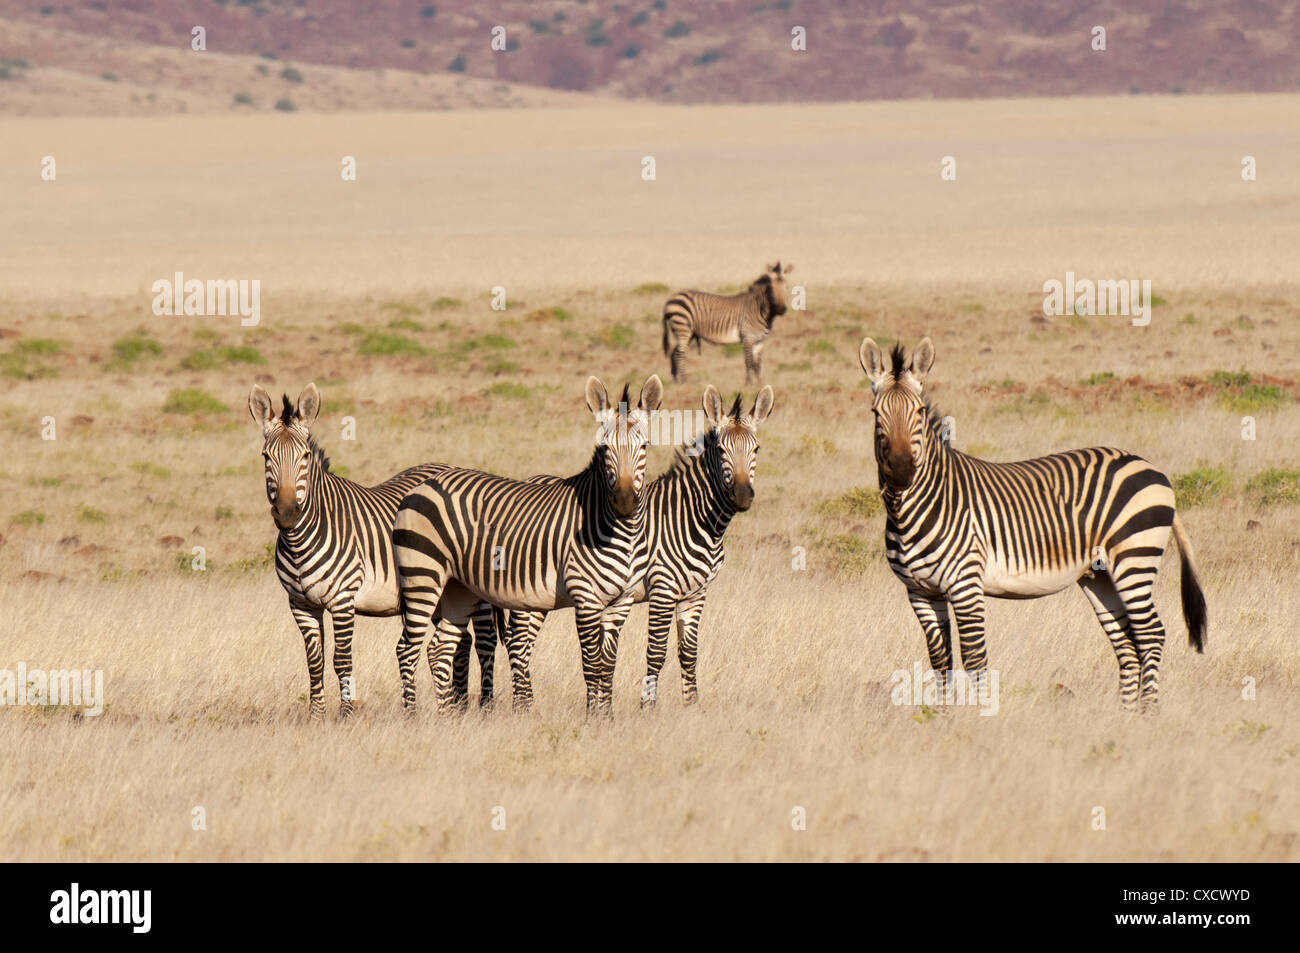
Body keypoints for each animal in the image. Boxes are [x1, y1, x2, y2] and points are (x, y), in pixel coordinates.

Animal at [248, 382, 496, 717]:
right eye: (266, 457)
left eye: (305, 456)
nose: (287, 513)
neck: (301, 540)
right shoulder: (300, 604)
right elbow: (315, 663)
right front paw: (316, 716)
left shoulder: (343, 599)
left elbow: (341, 660)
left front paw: (346, 716)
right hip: (437, 592)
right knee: (463, 641)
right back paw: (457, 706)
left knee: (484, 641)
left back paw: (485, 706)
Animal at [392, 371, 660, 712]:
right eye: (604, 448)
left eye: (645, 445)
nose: (624, 502)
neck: (618, 531)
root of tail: (422, 485)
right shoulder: (586, 596)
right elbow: (592, 664)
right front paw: (594, 718)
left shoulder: (620, 601)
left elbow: (608, 665)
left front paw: (607, 715)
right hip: (422, 576)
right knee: (407, 649)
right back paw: (413, 715)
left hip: (458, 588)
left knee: (439, 648)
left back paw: (448, 715)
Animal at [499, 384, 774, 707]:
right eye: (721, 451)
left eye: (756, 449)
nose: (742, 496)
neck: (693, 520)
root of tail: (531, 478)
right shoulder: (663, 590)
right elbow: (656, 653)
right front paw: (648, 706)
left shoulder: (696, 594)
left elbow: (688, 654)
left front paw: (692, 705)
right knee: (518, 643)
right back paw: (523, 705)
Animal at [660, 262, 790, 384]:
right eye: (771, 289)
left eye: (787, 287)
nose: (782, 310)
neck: (759, 309)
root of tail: (671, 300)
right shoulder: (747, 337)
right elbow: (749, 361)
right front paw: (749, 383)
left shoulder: (760, 340)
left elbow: (757, 363)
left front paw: (760, 383)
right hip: (683, 329)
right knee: (680, 354)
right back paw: (684, 381)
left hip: (688, 332)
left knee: (674, 353)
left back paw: (676, 380)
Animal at [852, 338, 1206, 712]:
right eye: (875, 413)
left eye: (919, 412)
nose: (902, 470)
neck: (914, 510)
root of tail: (1151, 467)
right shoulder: (920, 592)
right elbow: (940, 660)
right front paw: (942, 717)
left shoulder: (965, 586)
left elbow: (975, 658)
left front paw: (979, 716)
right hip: (1099, 576)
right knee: (1126, 643)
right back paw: (1125, 716)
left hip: (1133, 558)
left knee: (1150, 635)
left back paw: (1147, 715)